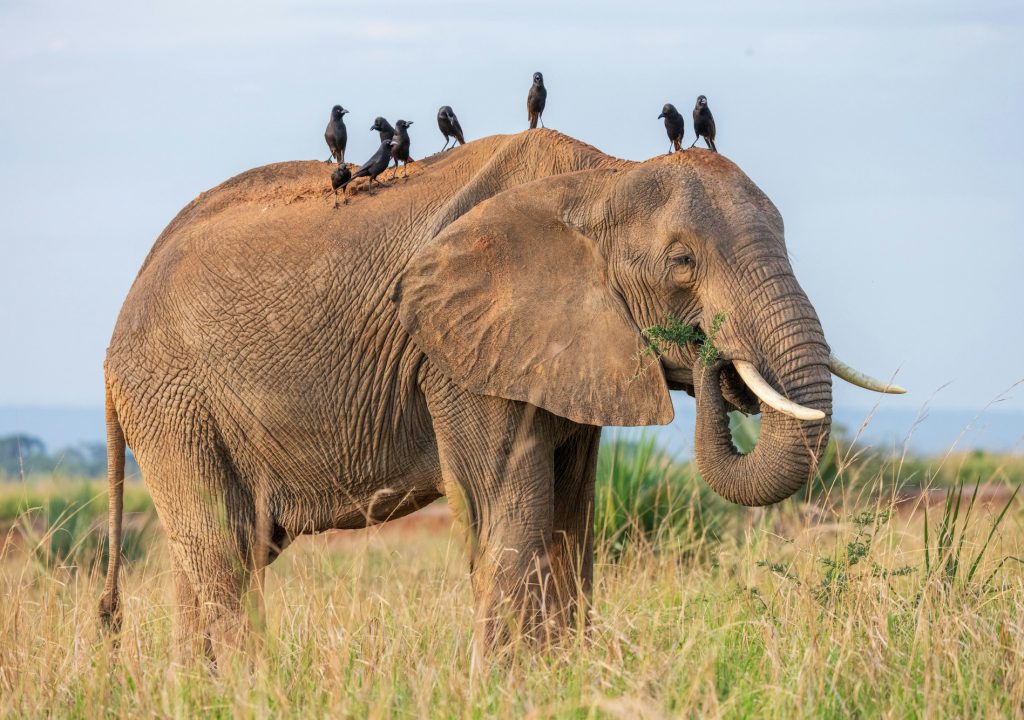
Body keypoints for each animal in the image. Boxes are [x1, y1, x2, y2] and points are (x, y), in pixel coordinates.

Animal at [98, 128, 903, 661]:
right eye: (682, 263)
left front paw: (563, 680)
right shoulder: (457, 356)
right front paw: (506, 687)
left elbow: (569, 523)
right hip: (171, 397)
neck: (601, 178)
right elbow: (507, 512)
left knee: (213, 555)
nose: (710, 352)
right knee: (222, 553)